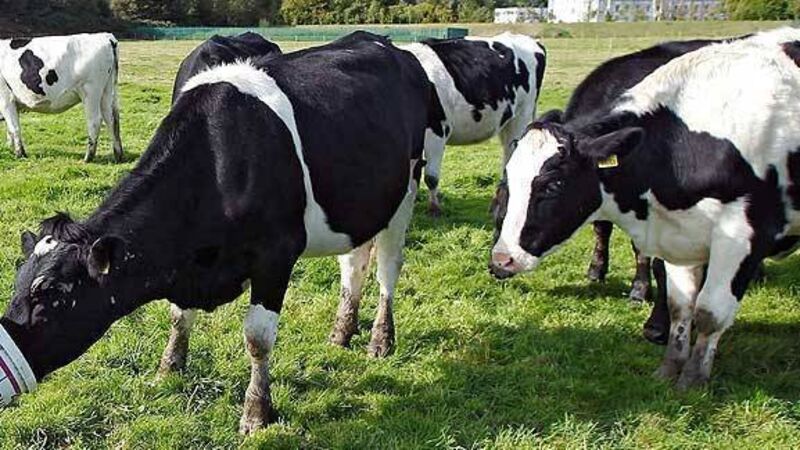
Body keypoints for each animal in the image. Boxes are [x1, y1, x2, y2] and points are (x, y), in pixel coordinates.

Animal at [0, 33, 123, 162]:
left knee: (95, 121)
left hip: (91, 91)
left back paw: (88, 157)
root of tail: (105, 36)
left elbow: (14, 127)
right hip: (108, 91)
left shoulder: (6, 99)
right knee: (111, 119)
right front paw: (10, 149)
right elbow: (10, 128)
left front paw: (20, 154)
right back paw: (118, 155)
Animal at [402, 33, 546, 216]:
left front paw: (434, 208)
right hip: (506, 121)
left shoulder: (437, 129)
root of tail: (532, 41)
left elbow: (431, 177)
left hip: (521, 115)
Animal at [489, 27, 800, 389]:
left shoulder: (740, 234)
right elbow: (679, 300)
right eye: (508, 185)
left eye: (552, 185)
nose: (501, 261)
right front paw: (667, 362)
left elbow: (708, 309)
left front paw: (689, 374)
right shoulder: (674, 229)